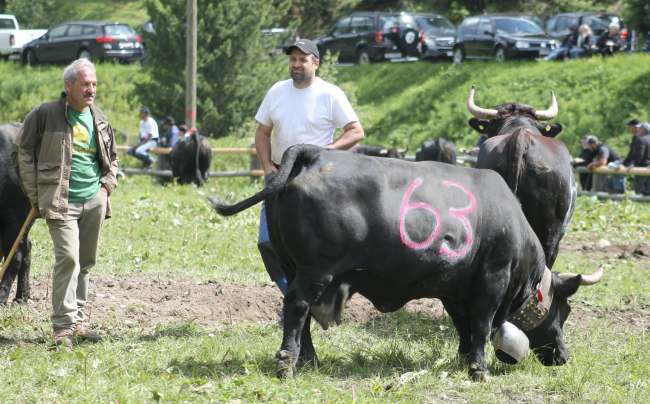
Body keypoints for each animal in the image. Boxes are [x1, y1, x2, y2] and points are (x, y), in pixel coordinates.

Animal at [211, 145, 596, 382]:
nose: (564, 357)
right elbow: (481, 325)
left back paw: (311, 360)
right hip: (314, 270)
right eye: (565, 311)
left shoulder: (455, 288)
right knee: (297, 307)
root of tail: (315, 152)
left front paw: (463, 359)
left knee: (298, 311)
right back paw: (287, 363)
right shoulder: (493, 278)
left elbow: (464, 325)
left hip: (293, 267)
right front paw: (479, 369)